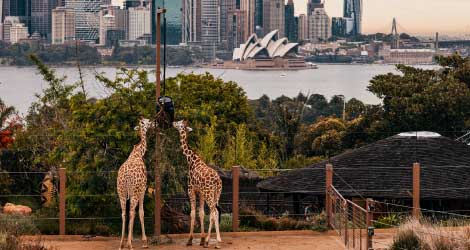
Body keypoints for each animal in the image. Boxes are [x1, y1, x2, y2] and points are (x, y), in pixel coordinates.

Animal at [116, 117, 153, 250]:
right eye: (147, 121)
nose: (153, 124)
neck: (138, 152)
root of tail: (127, 177)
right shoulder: (143, 190)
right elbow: (141, 212)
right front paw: (144, 241)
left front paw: (130, 238)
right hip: (134, 192)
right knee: (132, 212)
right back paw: (129, 245)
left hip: (121, 192)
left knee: (123, 213)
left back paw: (122, 243)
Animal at [173, 120, 224, 249]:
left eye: (180, 123)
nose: (173, 122)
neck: (191, 161)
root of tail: (217, 181)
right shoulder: (200, 192)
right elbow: (201, 213)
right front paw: (201, 240)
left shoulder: (191, 190)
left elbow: (192, 213)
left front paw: (189, 240)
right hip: (216, 194)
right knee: (215, 213)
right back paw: (210, 241)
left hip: (209, 193)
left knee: (214, 212)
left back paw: (215, 242)